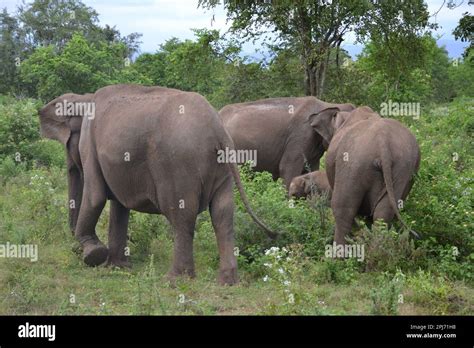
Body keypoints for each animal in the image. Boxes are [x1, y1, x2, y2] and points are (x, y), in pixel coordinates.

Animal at [40, 85, 280, 286]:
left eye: (69, 143)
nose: (74, 248)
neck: (84, 97)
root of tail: (218, 129)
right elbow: (119, 206)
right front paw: (118, 267)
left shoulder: (91, 145)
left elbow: (96, 196)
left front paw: (93, 254)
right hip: (222, 168)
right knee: (223, 214)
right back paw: (227, 282)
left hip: (178, 165)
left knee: (181, 215)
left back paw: (174, 280)